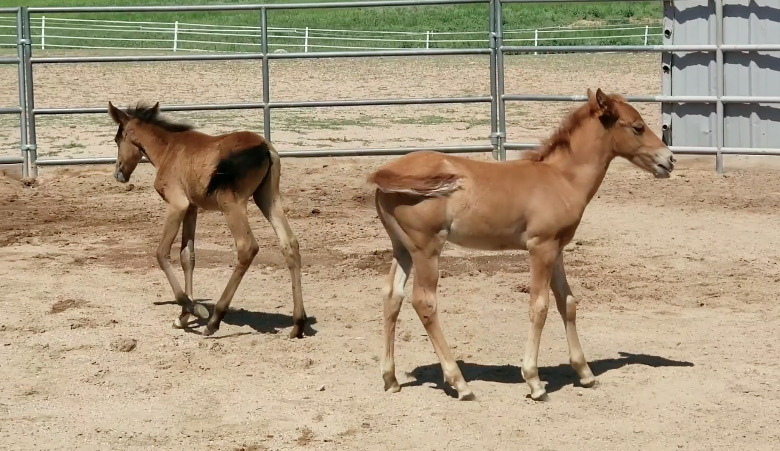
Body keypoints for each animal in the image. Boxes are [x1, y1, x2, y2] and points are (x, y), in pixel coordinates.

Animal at [107, 101, 307, 339]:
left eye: (117, 140)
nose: (119, 174)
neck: (169, 149)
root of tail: (264, 148)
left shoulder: (176, 204)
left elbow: (161, 253)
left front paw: (192, 308)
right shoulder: (191, 209)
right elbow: (187, 256)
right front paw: (183, 317)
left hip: (231, 203)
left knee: (247, 247)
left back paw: (214, 320)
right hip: (268, 199)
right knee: (290, 244)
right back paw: (298, 324)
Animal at [368, 88, 675, 401]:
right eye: (637, 127)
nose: (669, 160)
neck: (561, 178)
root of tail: (386, 171)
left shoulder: (557, 249)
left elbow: (568, 303)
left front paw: (585, 373)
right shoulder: (541, 248)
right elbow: (539, 306)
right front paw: (534, 381)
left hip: (402, 248)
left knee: (392, 295)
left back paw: (390, 378)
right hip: (426, 248)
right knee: (424, 302)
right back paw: (460, 383)